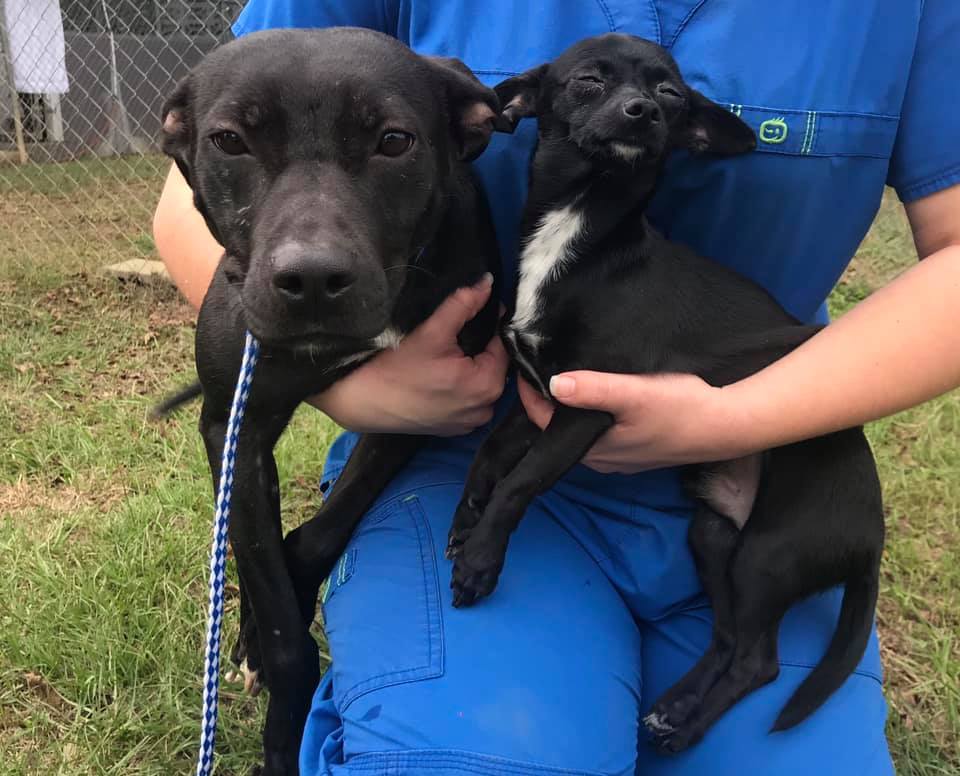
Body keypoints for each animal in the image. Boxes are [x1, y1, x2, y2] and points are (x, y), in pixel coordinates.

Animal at [159, 27, 502, 773]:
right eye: (230, 140)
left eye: (394, 141)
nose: (312, 279)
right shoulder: (235, 424)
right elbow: (283, 624)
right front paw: (279, 711)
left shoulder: (415, 412)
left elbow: (315, 536)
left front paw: (278, 601)